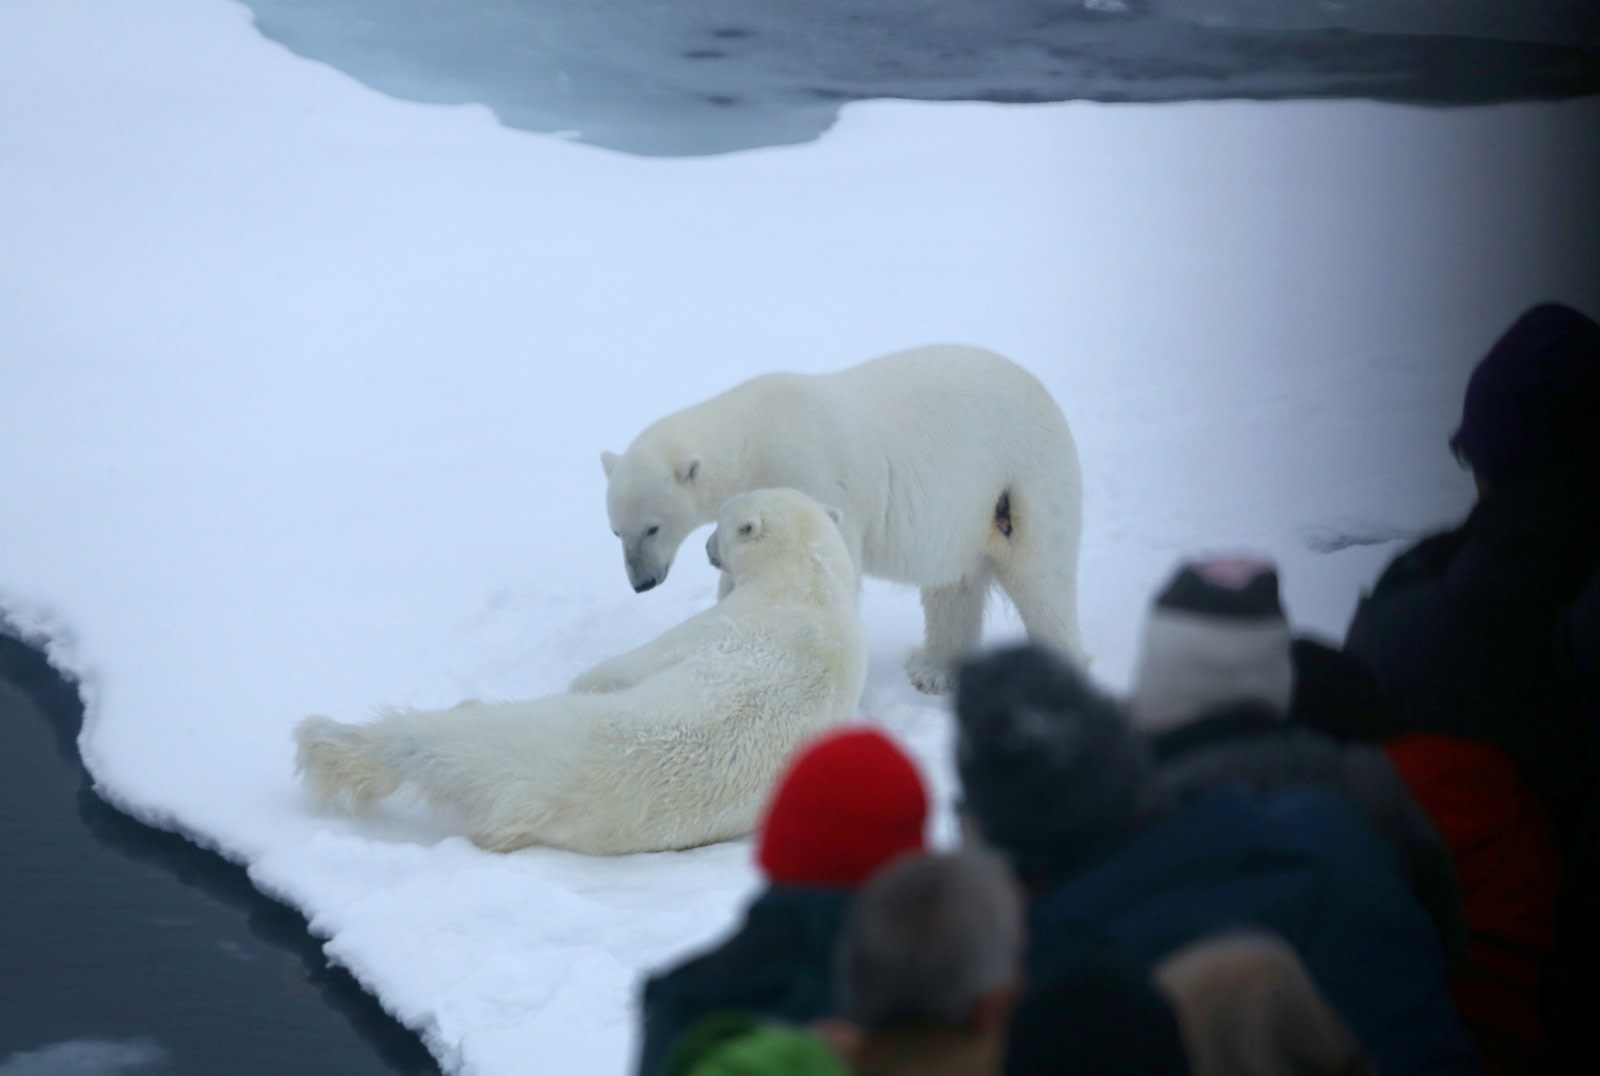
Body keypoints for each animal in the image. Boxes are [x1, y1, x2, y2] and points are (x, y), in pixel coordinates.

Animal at [288, 489, 864, 858]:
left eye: (720, 523)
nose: (706, 548)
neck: (809, 585)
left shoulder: (721, 626)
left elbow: (616, 668)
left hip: (528, 739)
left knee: (437, 739)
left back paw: (332, 735)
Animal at [601, 347, 1088, 698]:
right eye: (616, 531)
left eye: (652, 527)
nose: (642, 582)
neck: (752, 438)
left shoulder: (813, 475)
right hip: (964, 512)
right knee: (953, 585)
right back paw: (933, 670)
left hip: (1022, 477)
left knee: (1042, 579)